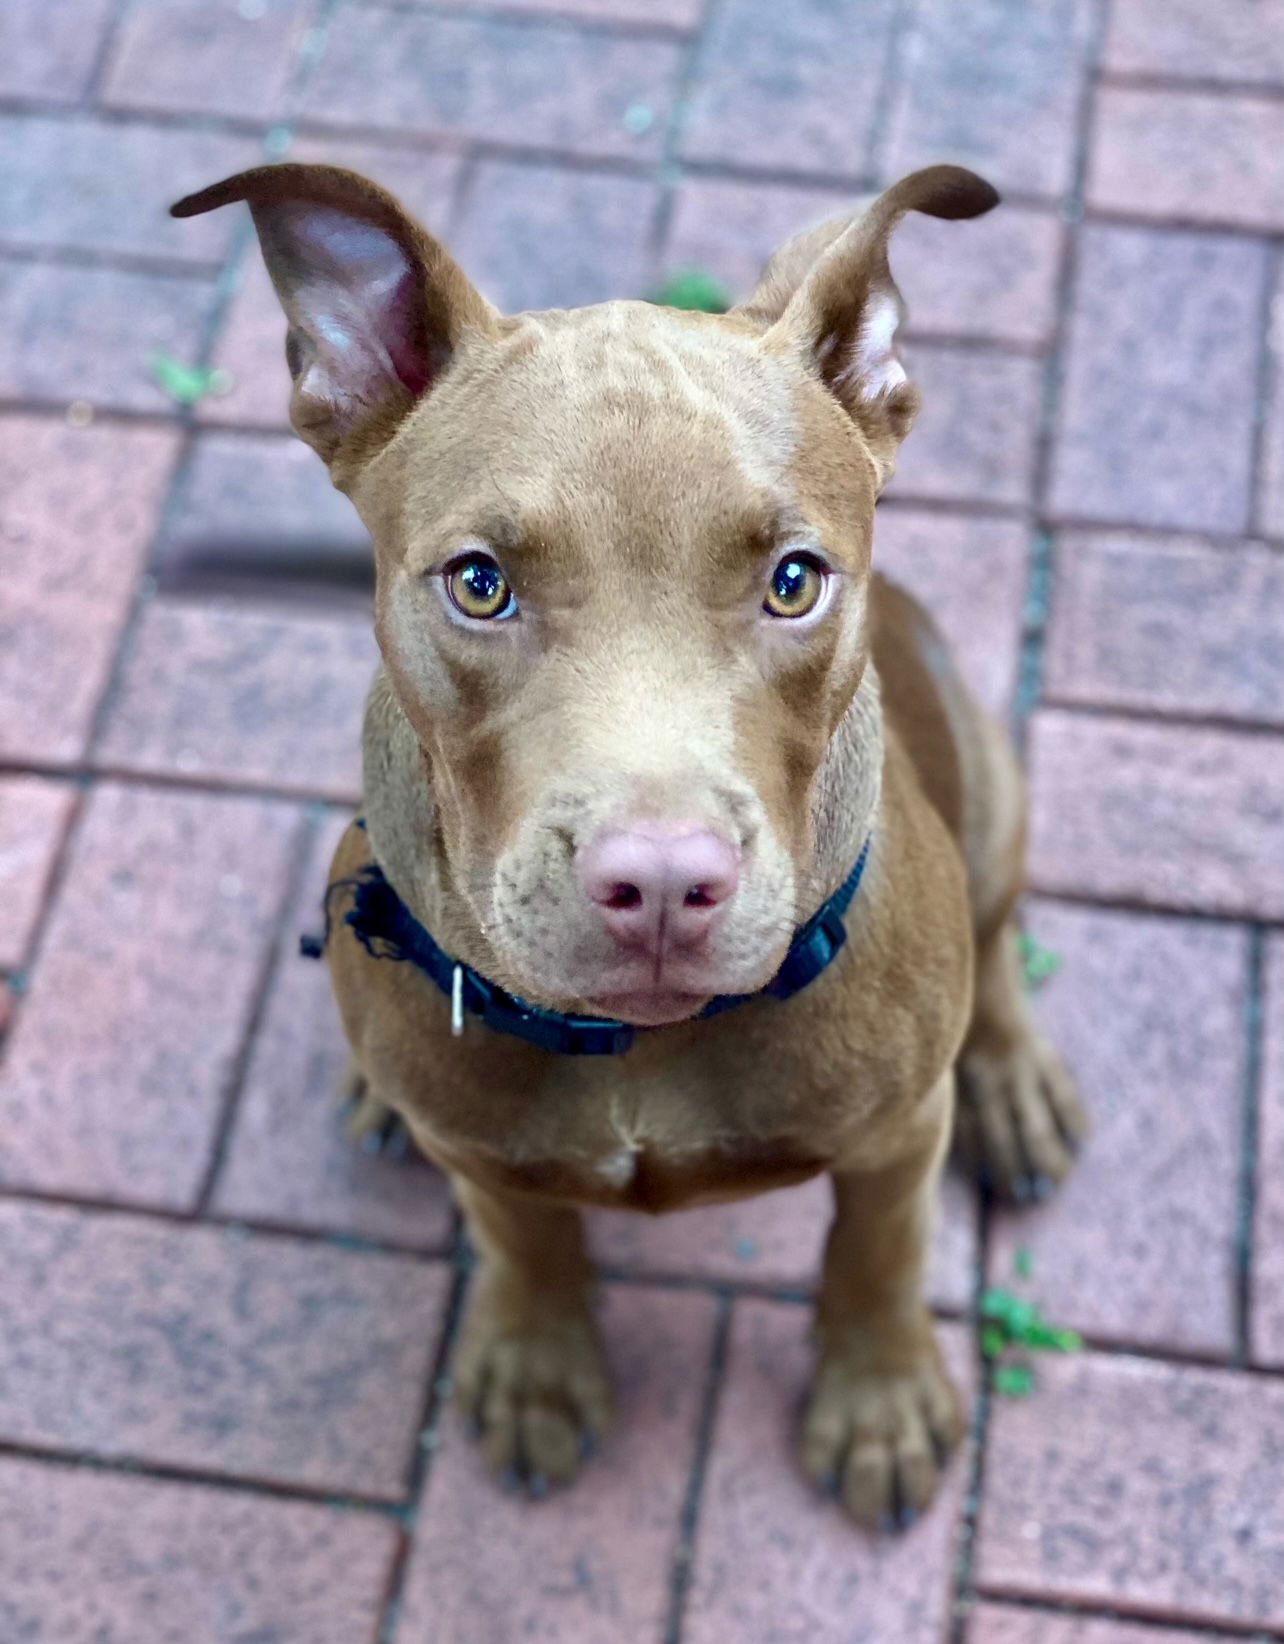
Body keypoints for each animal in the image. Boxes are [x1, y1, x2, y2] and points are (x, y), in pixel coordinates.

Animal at [175, 163, 1085, 1525]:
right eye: (479, 583)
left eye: (795, 581)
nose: (659, 884)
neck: (641, 1051)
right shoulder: (484, 1154)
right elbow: (525, 1235)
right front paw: (538, 1364)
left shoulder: (892, 1139)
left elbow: (877, 1252)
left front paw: (877, 1403)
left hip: (995, 779)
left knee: (999, 922)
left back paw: (1015, 1082)